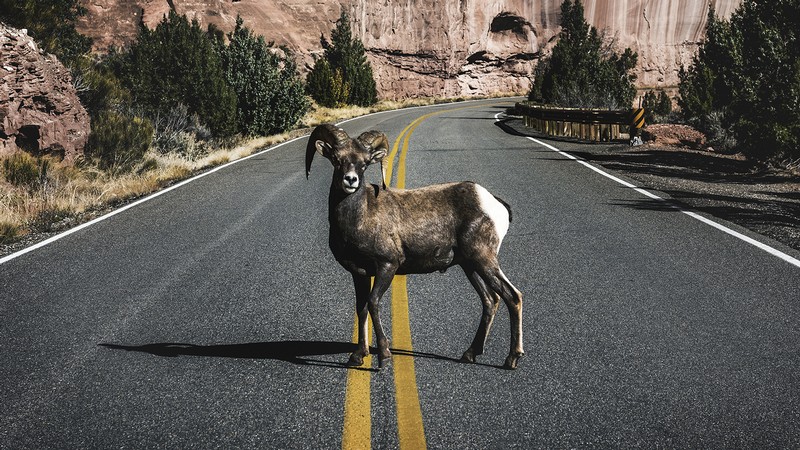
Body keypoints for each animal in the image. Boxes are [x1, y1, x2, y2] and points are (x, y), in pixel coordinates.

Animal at [306, 123, 524, 369]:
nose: (350, 180)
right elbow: (361, 309)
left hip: (483, 259)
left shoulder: (387, 266)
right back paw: (470, 354)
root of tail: (494, 203)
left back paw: (512, 358)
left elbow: (373, 303)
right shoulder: (359, 273)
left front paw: (384, 356)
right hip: (470, 266)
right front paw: (357, 356)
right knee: (490, 300)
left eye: (365, 162)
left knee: (512, 296)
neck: (359, 217)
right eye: (336, 158)